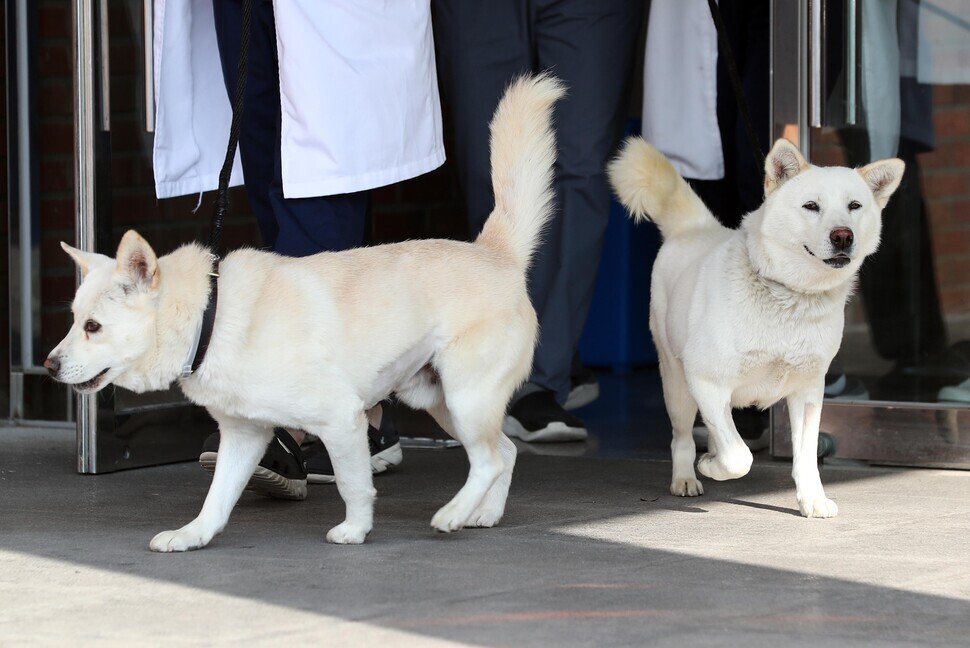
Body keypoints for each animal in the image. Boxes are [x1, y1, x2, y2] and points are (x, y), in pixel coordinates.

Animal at [47, 74, 568, 552]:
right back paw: (484, 514)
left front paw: (355, 530)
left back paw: (453, 514)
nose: (49, 365)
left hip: (465, 398)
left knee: (489, 460)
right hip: (441, 401)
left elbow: (353, 485)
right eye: (73, 321)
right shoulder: (242, 437)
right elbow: (217, 498)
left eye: (93, 327)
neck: (212, 318)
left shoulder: (342, 421)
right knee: (504, 453)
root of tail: (496, 252)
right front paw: (192, 535)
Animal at [608, 135, 904, 516]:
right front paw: (711, 466)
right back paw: (686, 476)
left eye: (855, 206)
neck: (790, 297)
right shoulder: (706, 381)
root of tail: (697, 228)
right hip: (676, 383)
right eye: (811, 206)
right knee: (683, 437)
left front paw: (812, 499)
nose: (843, 236)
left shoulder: (808, 391)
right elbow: (739, 457)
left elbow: (805, 456)